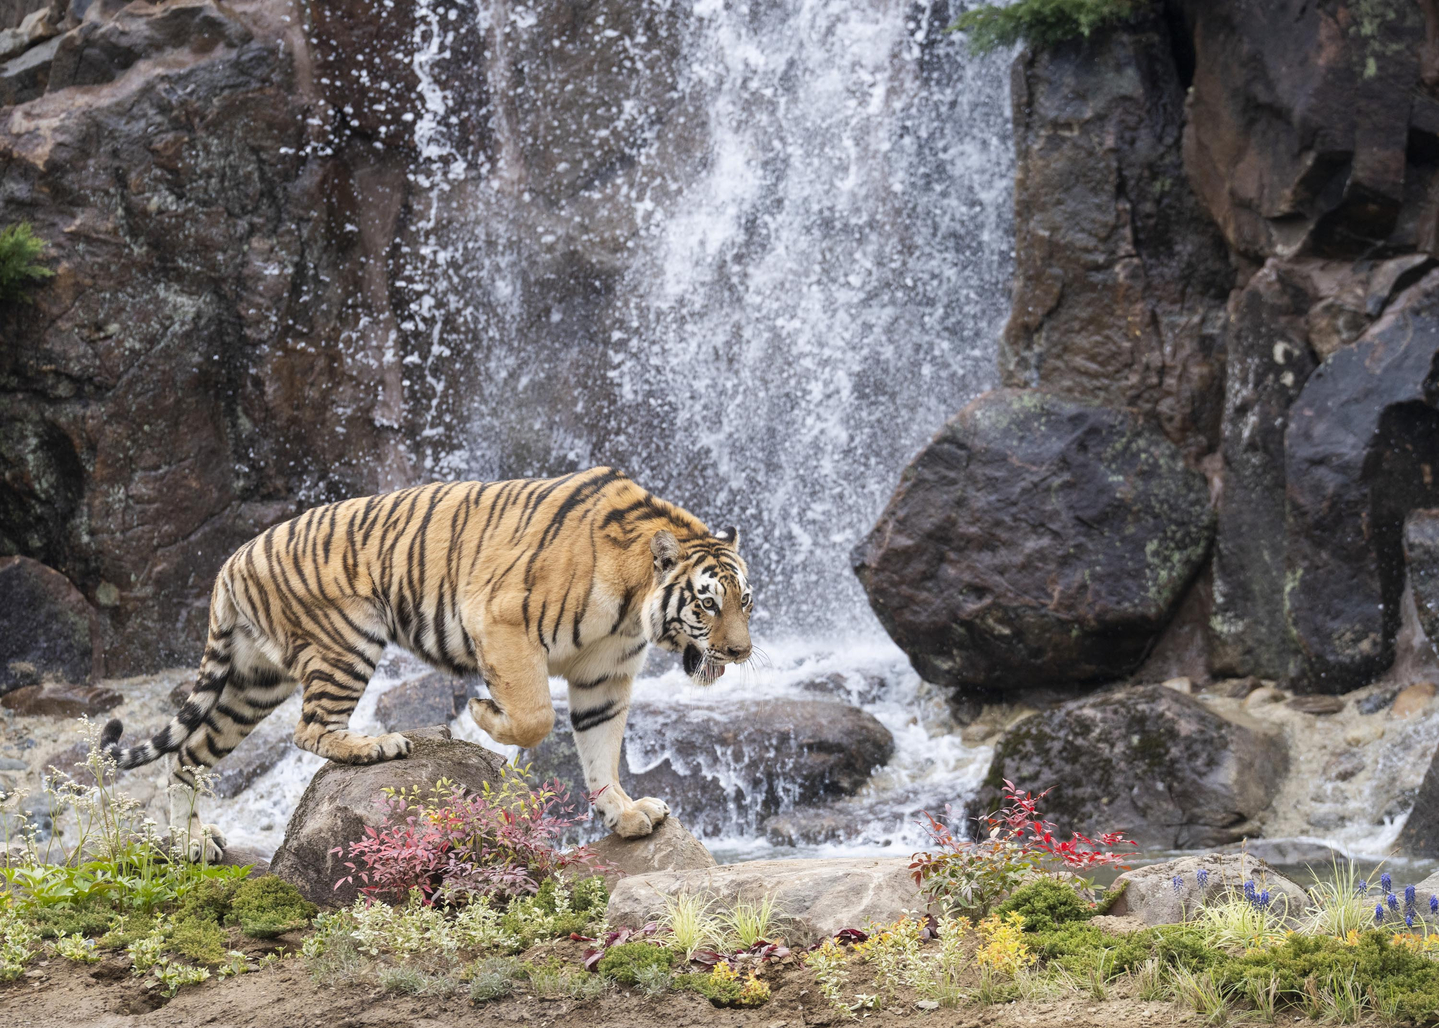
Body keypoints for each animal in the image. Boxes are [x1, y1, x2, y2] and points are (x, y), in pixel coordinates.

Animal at [99, 467, 753, 860]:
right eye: (706, 603)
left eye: (744, 601)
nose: (742, 652)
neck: (632, 606)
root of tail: (231, 560)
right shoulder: (500, 619)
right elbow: (534, 715)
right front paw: (483, 713)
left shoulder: (604, 675)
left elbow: (600, 751)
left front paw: (624, 812)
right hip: (347, 638)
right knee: (310, 728)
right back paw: (376, 745)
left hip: (254, 681)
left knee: (188, 755)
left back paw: (192, 841)